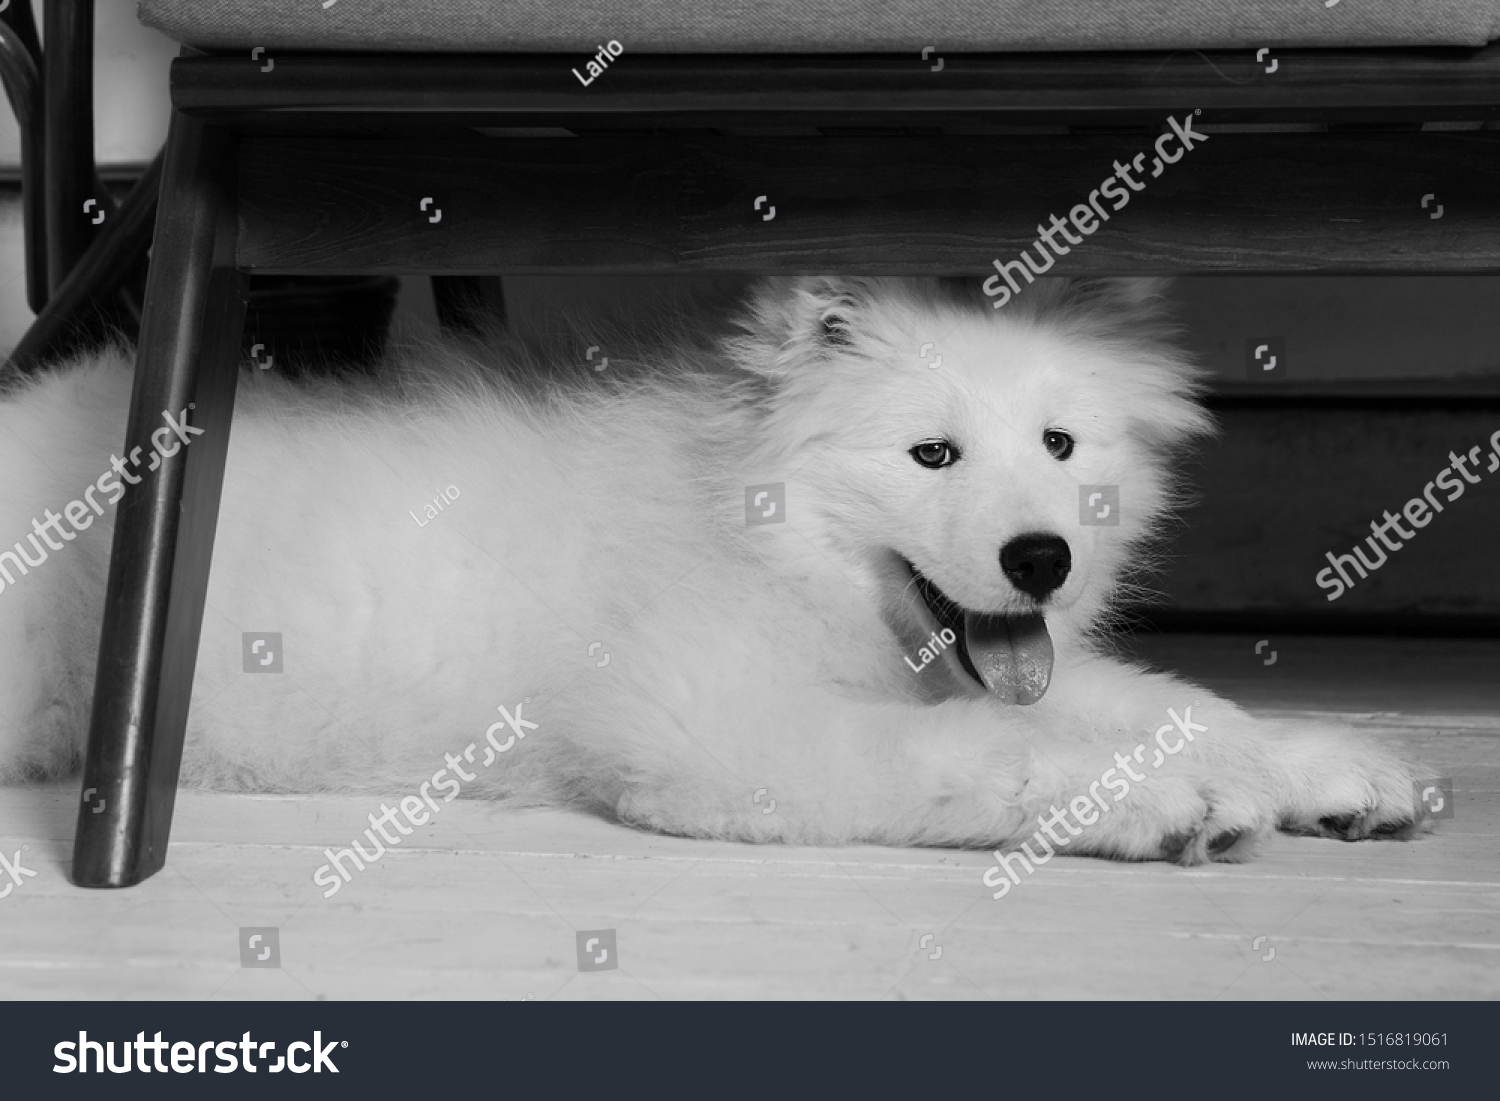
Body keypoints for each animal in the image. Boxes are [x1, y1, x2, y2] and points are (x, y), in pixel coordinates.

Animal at [0, 274, 1428, 864]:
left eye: (1061, 444)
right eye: (931, 453)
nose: (1043, 560)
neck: (760, 538)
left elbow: (1169, 700)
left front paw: (1322, 765)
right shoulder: (717, 729)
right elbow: (984, 755)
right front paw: (1163, 800)